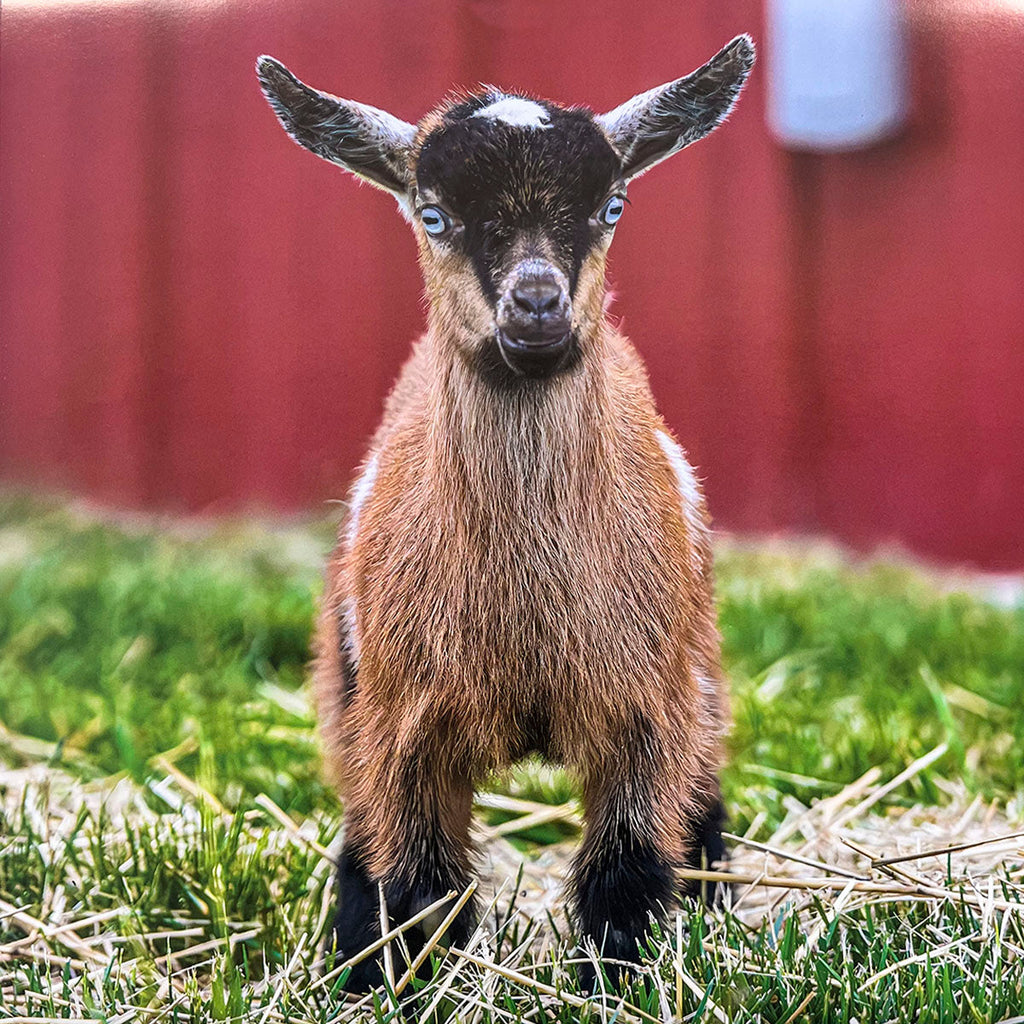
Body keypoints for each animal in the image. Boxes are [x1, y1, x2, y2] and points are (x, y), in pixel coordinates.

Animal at [257, 35, 755, 992]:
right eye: (433, 214)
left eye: (610, 205)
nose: (536, 303)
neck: (526, 622)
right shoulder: (405, 728)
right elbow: (419, 887)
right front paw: (400, 984)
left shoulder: (644, 713)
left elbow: (625, 875)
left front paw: (618, 984)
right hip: (347, 684)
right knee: (362, 834)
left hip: (700, 666)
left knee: (702, 798)